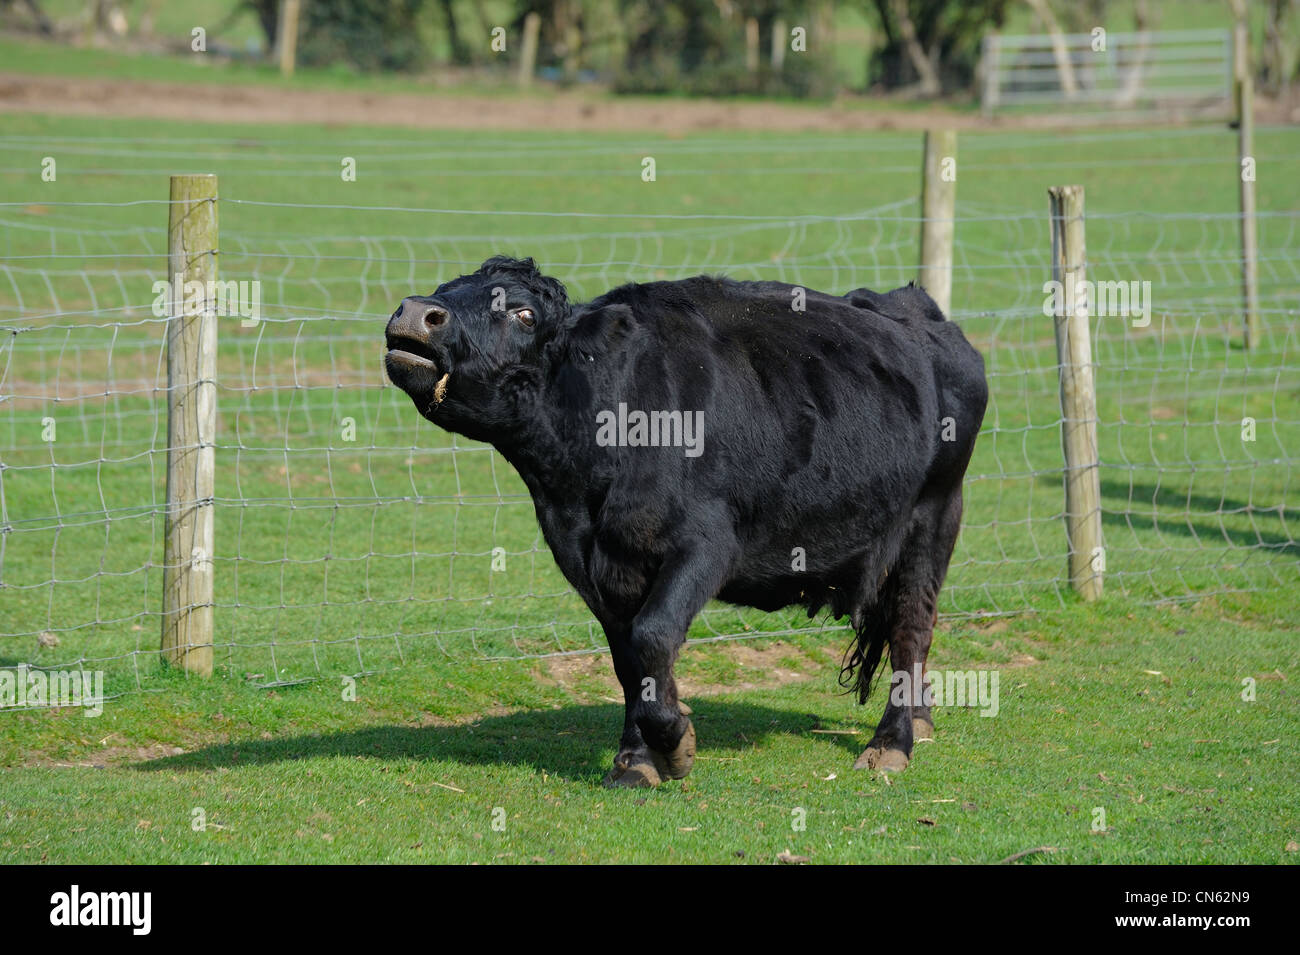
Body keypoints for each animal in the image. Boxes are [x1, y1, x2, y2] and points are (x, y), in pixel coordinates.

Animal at [382, 257, 982, 789]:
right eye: (447, 287)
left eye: (524, 314)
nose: (416, 312)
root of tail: (916, 309)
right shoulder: (592, 561)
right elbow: (629, 662)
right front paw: (634, 760)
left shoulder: (706, 544)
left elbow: (652, 637)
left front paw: (674, 743)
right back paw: (921, 721)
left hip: (932, 518)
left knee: (912, 627)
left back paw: (892, 742)